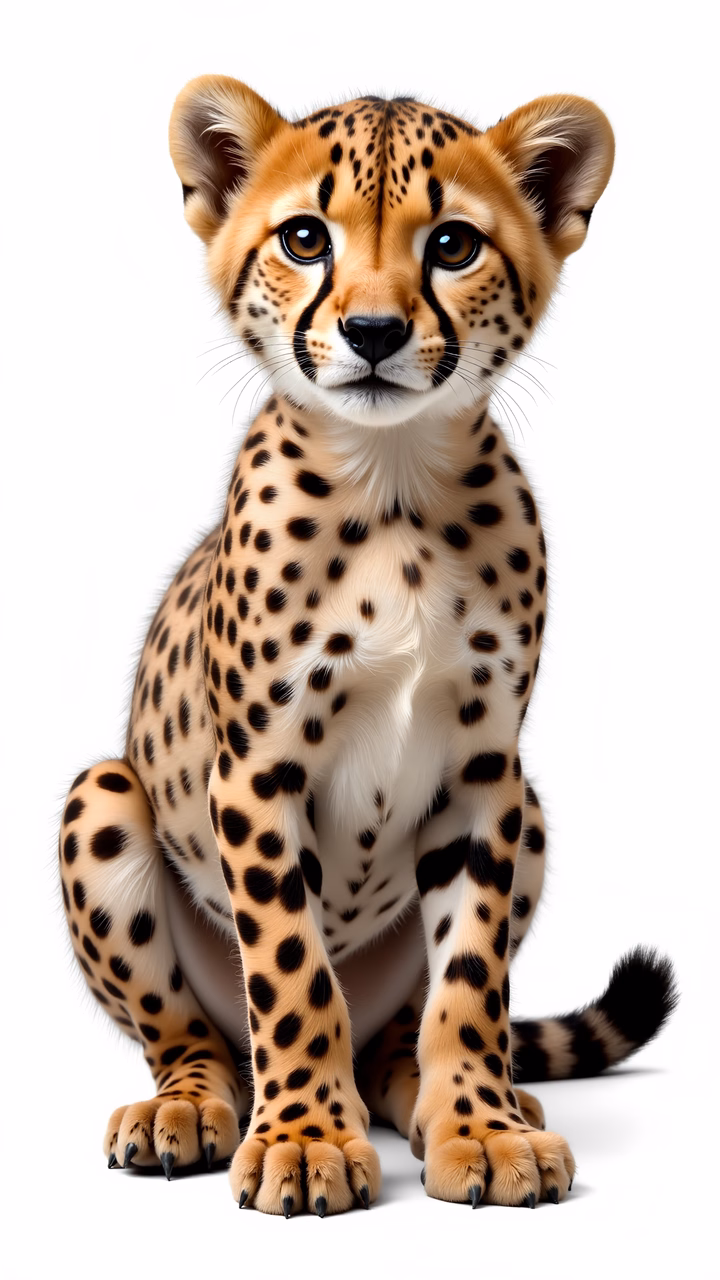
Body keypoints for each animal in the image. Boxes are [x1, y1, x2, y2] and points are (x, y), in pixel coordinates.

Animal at [58, 75, 677, 1216]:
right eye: (306, 237)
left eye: (452, 244)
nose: (377, 331)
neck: (391, 481)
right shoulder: (258, 769)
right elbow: (293, 971)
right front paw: (304, 1138)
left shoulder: (484, 773)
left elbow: (471, 978)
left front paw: (478, 1125)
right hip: (104, 797)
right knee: (192, 1037)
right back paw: (190, 1108)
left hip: (532, 809)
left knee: (399, 1027)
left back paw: (458, 1092)